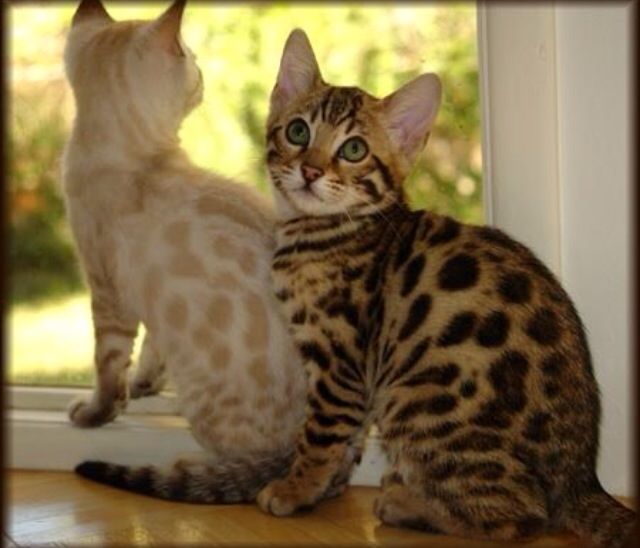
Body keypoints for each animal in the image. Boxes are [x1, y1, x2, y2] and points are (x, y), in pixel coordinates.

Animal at [255, 31, 636, 548]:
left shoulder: (341, 359)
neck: (327, 230)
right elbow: (348, 437)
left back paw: (407, 505)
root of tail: (579, 481)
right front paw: (327, 487)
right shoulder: (357, 373)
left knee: (522, 517)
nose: (311, 172)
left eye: (353, 150)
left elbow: (320, 434)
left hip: (415, 400)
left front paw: (295, 488)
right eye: (298, 132)